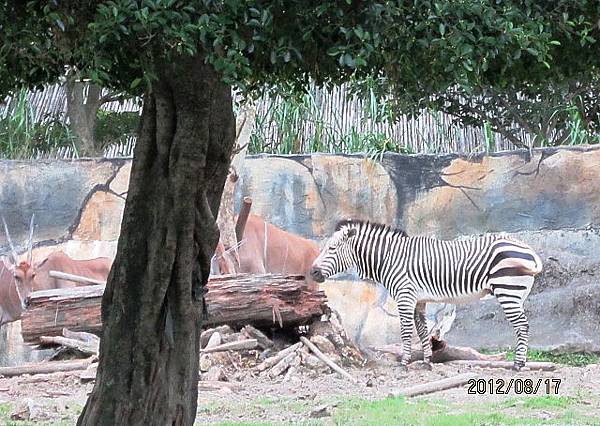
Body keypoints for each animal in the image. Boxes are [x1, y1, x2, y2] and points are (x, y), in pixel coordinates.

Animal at [310, 220, 544, 370]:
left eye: (331, 249)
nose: (312, 272)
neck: (390, 258)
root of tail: (527, 248)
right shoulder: (418, 301)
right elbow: (422, 332)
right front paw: (427, 361)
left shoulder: (405, 296)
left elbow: (406, 332)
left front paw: (404, 363)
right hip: (517, 294)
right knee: (523, 325)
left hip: (507, 291)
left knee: (522, 326)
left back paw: (518, 364)